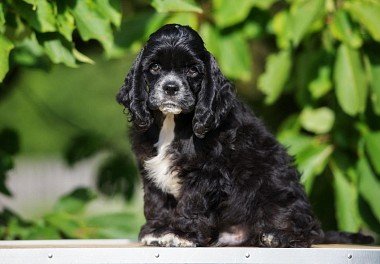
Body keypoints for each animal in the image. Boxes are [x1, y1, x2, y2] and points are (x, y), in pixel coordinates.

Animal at [116, 23, 374, 246]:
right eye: (155, 68)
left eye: (192, 70)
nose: (170, 87)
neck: (173, 123)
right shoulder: (150, 170)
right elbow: (156, 201)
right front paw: (157, 231)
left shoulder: (205, 172)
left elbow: (192, 203)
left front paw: (182, 235)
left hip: (276, 189)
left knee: (306, 230)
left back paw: (276, 236)